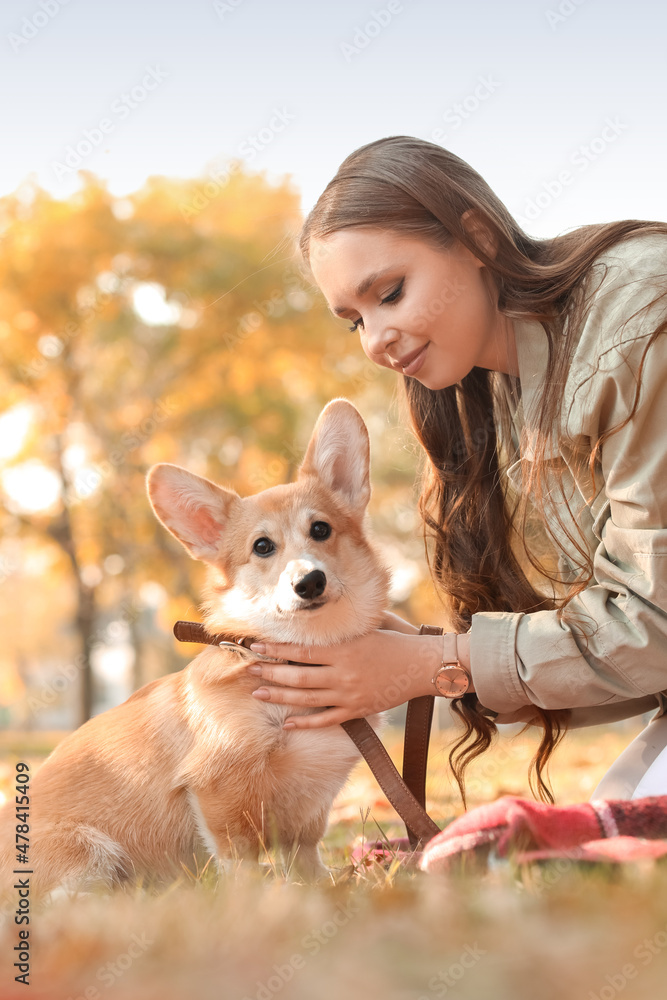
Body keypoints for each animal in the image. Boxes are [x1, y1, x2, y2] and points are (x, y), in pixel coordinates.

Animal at [0, 394, 394, 896]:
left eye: (321, 530)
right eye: (262, 547)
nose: (309, 582)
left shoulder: (310, 807)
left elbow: (305, 856)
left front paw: (325, 890)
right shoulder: (218, 790)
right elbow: (240, 858)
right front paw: (255, 898)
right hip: (89, 850)